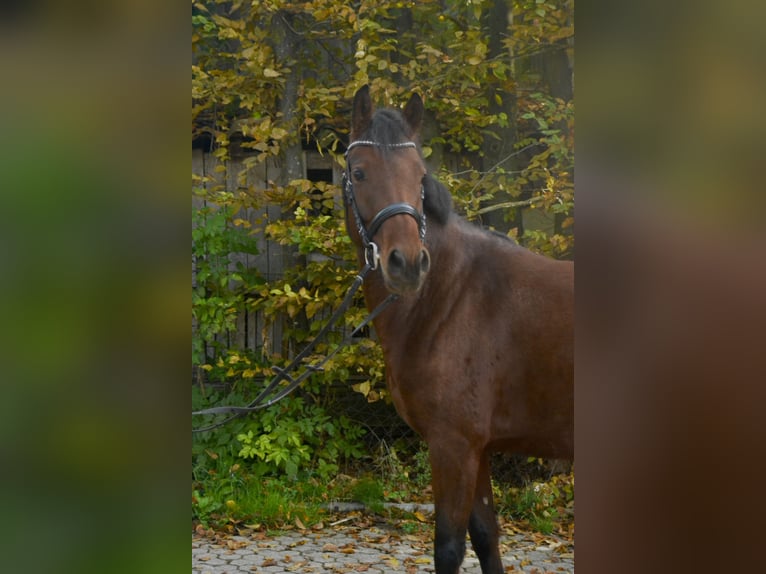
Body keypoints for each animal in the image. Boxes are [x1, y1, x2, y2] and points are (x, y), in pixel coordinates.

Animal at [344, 86, 572, 574]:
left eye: (420, 174)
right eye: (359, 171)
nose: (407, 263)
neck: (453, 295)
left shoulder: (453, 445)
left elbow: (448, 546)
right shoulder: (477, 449)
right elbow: (486, 536)